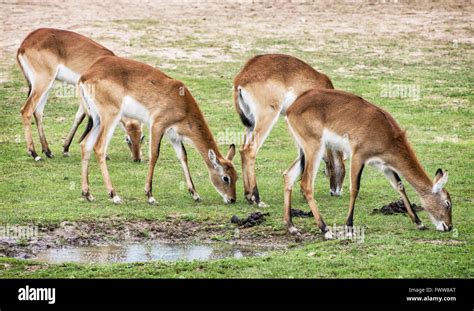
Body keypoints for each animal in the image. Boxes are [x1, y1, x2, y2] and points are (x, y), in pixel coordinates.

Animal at [16, 28, 143, 162]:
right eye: (127, 139)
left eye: (142, 138)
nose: (137, 158)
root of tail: (24, 45)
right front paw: (104, 154)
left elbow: (79, 118)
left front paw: (66, 149)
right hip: (42, 83)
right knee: (26, 110)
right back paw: (34, 154)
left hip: (47, 85)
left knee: (38, 112)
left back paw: (48, 152)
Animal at [79, 55, 239, 206]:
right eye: (226, 178)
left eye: (237, 176)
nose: (232, 199)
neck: (183, 104)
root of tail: (86, 75)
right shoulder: (157, 125)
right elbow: (154, 155)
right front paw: (150, 196)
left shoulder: (174, 136)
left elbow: (183, 156)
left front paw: (195, 194)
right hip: (110, 117)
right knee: (99, 148)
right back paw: (114, 196)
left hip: (97, 119)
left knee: (85, 145)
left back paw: (88, 194)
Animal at [233, 54, 344, 208]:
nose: (336, 192)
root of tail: (242, 77)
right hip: (267, 118)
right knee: (250, 150)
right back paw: (257, 198)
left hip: (250, 124)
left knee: (242, 150)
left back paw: (248, 196)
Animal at [284, 88, 454, 239]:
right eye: (447, 203)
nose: (449, 226)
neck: (387, 135)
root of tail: (293, 107)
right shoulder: (358, 156)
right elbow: (355, 188)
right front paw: (349, 227)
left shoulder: (384, 165)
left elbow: (400, 186)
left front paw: (419, 223)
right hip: (315, 148)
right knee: (306, 184)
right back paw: (325, 230)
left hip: (304, 151)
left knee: (288, 175)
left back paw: (292, 227)